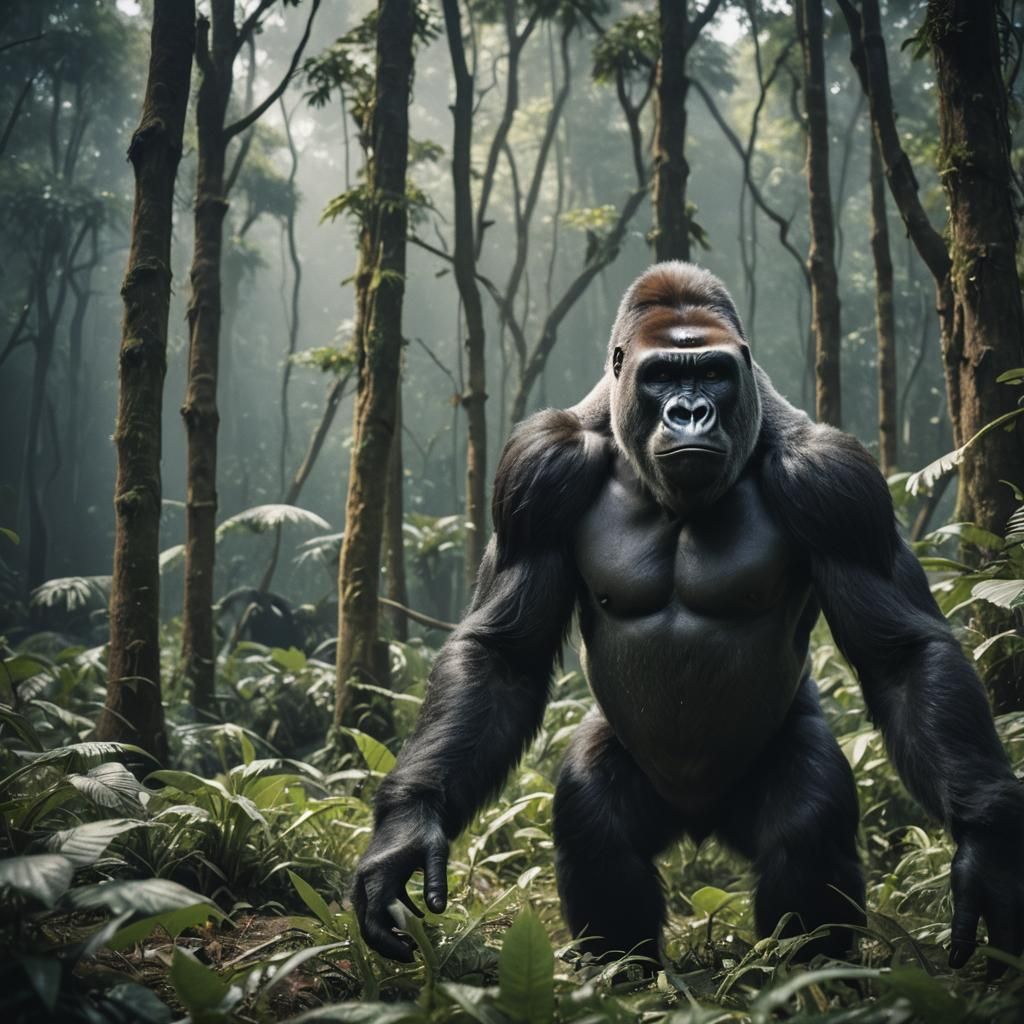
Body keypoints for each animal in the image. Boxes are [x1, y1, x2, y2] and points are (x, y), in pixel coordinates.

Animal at [351, 262, 1024, 975]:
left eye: (712, 373)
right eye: (662, 376)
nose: (691, 412)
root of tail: (699, 823)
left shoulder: (837, 480)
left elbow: (901, 656)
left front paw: (987, 849)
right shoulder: (537, 468)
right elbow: (503, 656)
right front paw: (405, 830)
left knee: (807, 827)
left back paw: (808, 976)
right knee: (596, 828)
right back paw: (625, 973)